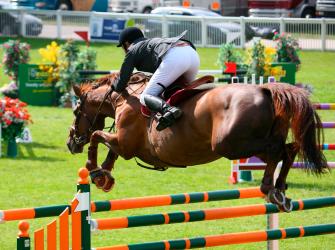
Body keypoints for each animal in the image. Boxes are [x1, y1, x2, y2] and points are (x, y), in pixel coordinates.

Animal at [67, 72, 330, 211]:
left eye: (76, 111)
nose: (71, 143)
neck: (124, 98)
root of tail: (265, 89)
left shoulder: (125, 143)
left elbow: (96, 136)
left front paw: (94, 169)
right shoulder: (123, 143)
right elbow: (108, 149)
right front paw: (104, 176)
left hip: (231, 145)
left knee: (278, 150)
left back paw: (269, 188)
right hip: (247, 144)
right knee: (288, 150)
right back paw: (280, 190)